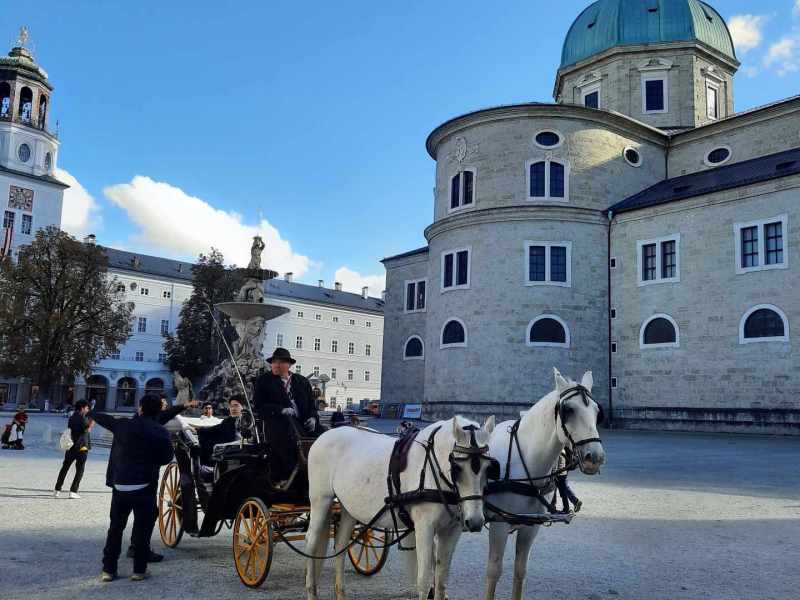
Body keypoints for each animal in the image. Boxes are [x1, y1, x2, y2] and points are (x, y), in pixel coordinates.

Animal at [304, 414, 494, 600]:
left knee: (341, 546)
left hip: (349, 508)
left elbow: (441, 582)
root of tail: (327, 434)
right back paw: (311, 590)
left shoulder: (452, 530)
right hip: (321, 501)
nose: (475, 521)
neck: (431, 468)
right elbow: (424, 581)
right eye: (457, 467)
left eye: (488, 468)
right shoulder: (424, 528)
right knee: (311, 543)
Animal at [482, 368, 608, 600]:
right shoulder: (499, 523)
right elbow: (493, 571)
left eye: (597, 412)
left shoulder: (531, 527)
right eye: (568, 409)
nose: (594, 457)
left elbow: (520, 571)